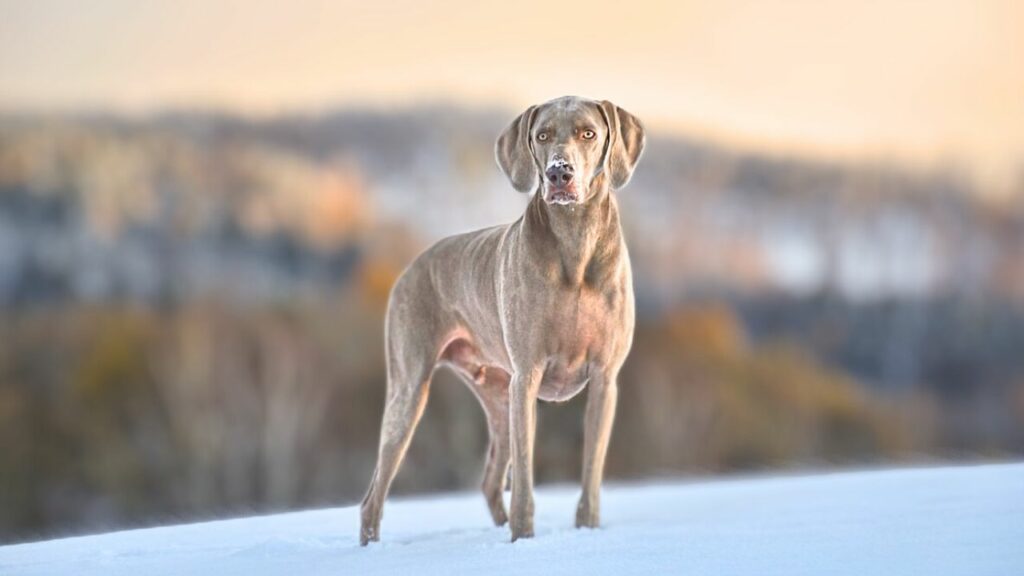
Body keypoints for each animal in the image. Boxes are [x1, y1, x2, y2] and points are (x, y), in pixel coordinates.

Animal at [360, 95, 643, 541]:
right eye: (542, 135)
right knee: (373, 497)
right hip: (412, 389)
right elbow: (525, 482)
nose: (558, 172)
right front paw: (524, 540)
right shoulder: (528, 377)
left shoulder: (604, 379)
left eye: (589, 133)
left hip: (498, 396)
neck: (575, 242)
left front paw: (586, 530)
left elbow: (591, 477)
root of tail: (409, 268)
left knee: (490, 481)